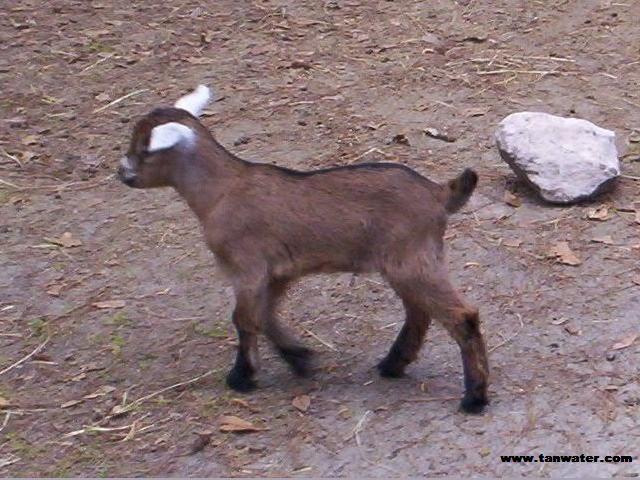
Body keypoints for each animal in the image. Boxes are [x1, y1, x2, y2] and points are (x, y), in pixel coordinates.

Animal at [119, 85, 490, 412]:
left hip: (412, 260)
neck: (222, 190)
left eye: (144, 149)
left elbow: (244, 318)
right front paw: (299, 358)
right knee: (419, 313)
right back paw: (392, 365)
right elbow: (266, 314)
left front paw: (242, 377)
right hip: (407, 263)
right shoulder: (278, 271)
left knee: (462, 316)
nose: (122, 173)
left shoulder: (247, 268)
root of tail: (438, 192)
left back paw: (474, 398)